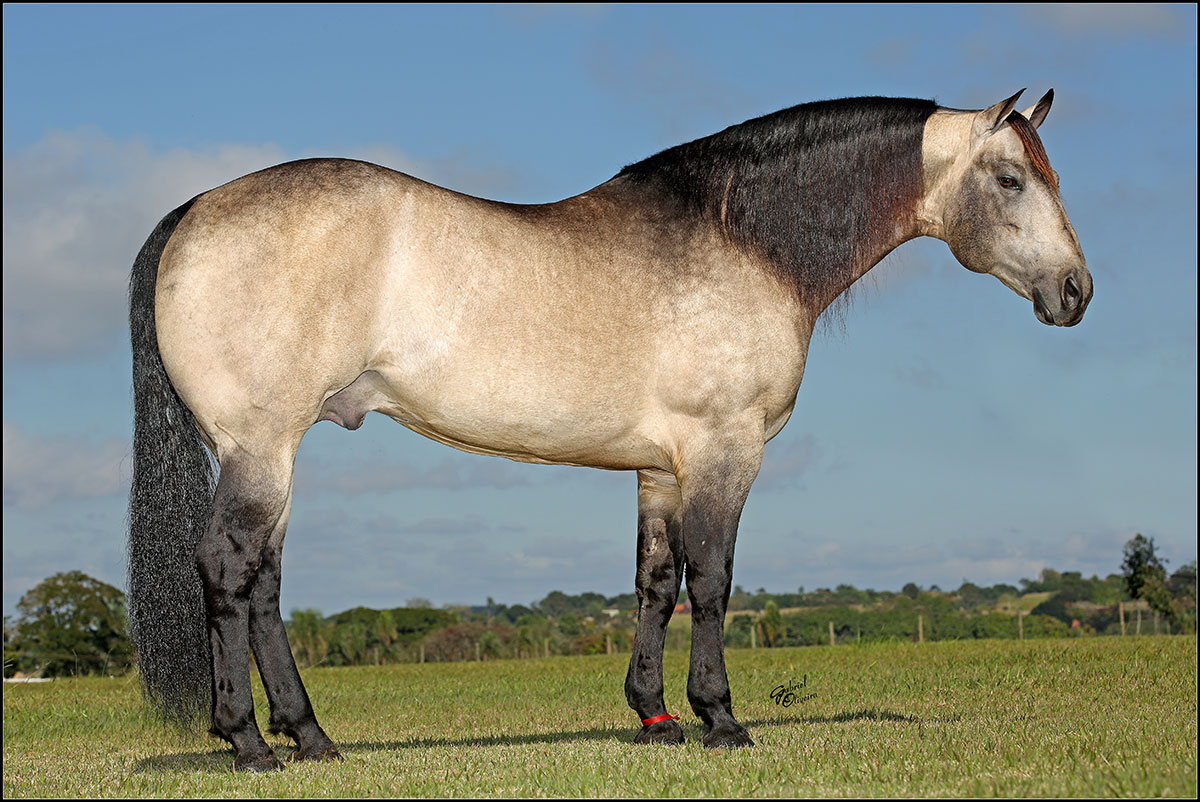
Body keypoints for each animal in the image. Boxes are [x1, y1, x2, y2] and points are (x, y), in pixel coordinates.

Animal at [126, 89, 1094, 768]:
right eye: (1011, 179)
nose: (1075, 292)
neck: (742, 241)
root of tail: (196, 207)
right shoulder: (724, 451)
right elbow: (713, 581)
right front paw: (721, 719)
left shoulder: (660, 469)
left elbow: (654, 583)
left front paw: (655, 717)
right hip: (259, 448)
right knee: (230, 570)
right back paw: (249, 743)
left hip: (276, 454)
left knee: (264, 584)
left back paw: (312, 738)